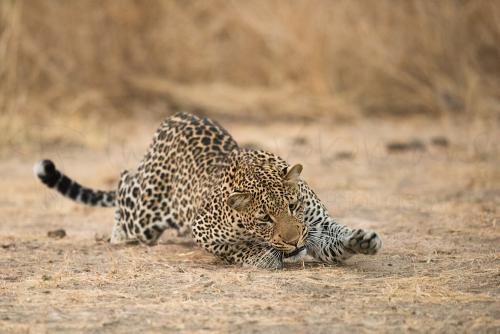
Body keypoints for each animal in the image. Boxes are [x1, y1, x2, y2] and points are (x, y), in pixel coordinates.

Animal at [33, 111, 380, 268]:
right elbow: (239, 249)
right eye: (265, 219)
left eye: (293, 206)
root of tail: (172, 119)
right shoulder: (203, 230)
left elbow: (334, 238)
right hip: (144, 211)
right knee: (124, 180)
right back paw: (118, 235)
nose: (293, 241)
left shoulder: (316, 225)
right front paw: (263, 257)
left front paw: (361, 240)